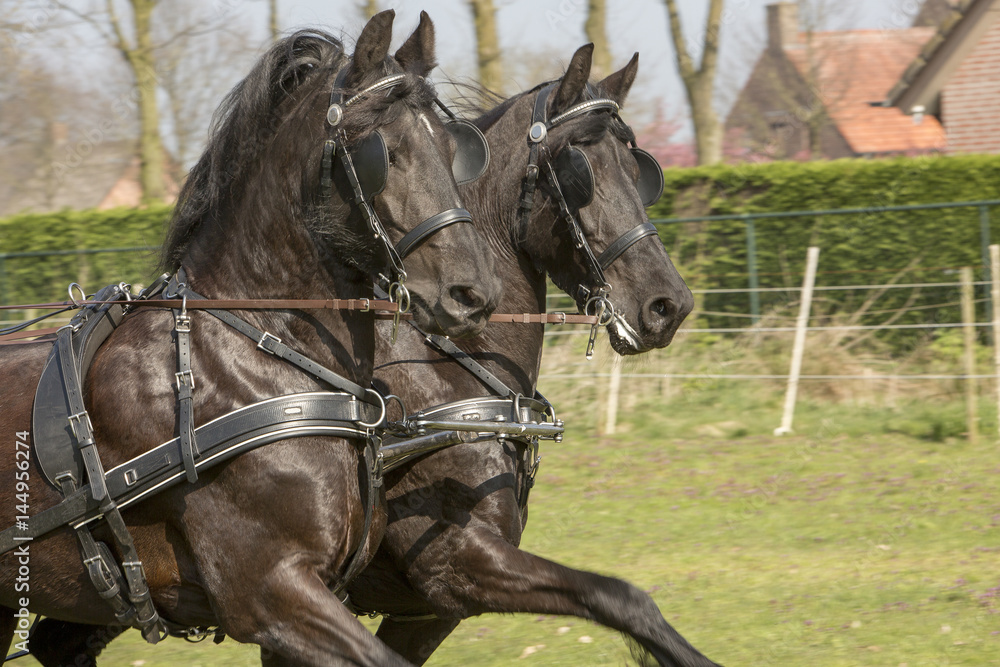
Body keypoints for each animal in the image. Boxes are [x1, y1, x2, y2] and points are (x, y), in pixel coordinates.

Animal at [340, 44, 716, 664]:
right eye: (579, 171)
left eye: (638, 169)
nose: (670, 304)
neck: (444, 371)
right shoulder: (456, 562)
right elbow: (622, 599)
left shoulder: (427, 609)